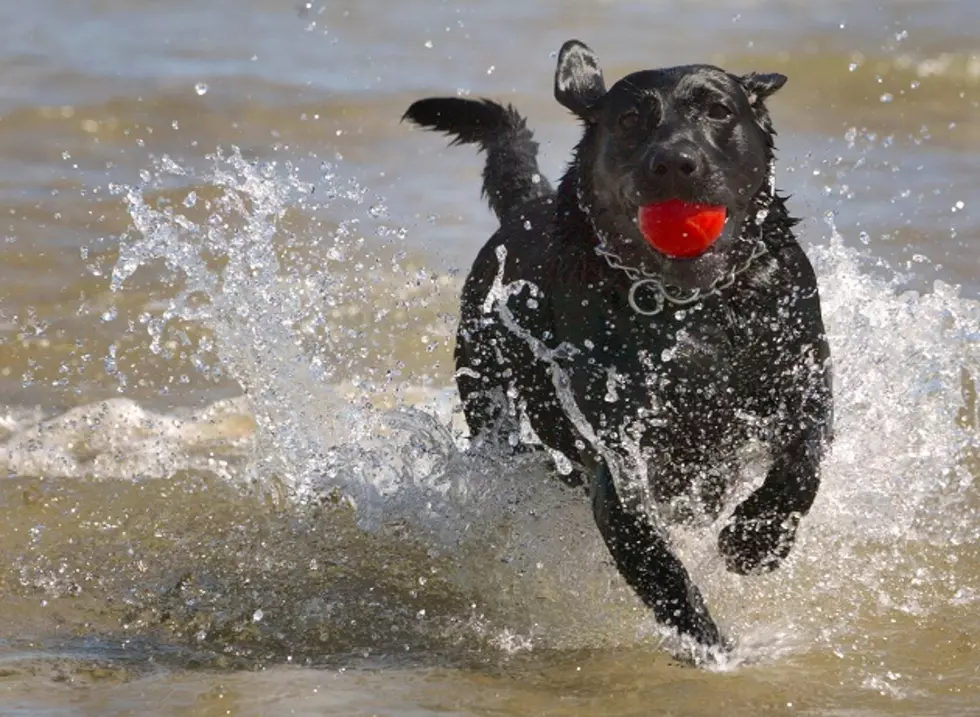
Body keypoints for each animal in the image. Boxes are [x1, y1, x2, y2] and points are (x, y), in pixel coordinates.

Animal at [402, 42, 832, 652]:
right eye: (631, 120)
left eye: (718, 111)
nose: (674, 162)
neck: (690, 309)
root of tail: (525, 207)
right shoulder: (614, 449)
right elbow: (651, 554)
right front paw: (709, 646)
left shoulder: (801, 380)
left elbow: (803, 458)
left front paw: (757, 539)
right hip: (486, 384)